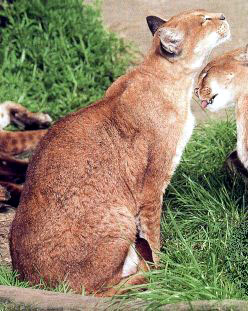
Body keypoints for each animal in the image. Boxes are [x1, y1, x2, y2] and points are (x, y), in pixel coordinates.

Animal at [9, 10, 231, 298]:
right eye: (204, 20)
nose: (223, 16)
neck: (167, 75)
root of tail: (31, 280)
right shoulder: (151, 186)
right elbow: (154, 231)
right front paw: (165, 266)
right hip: (119, 216)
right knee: (104, 289)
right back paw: (145, 271)